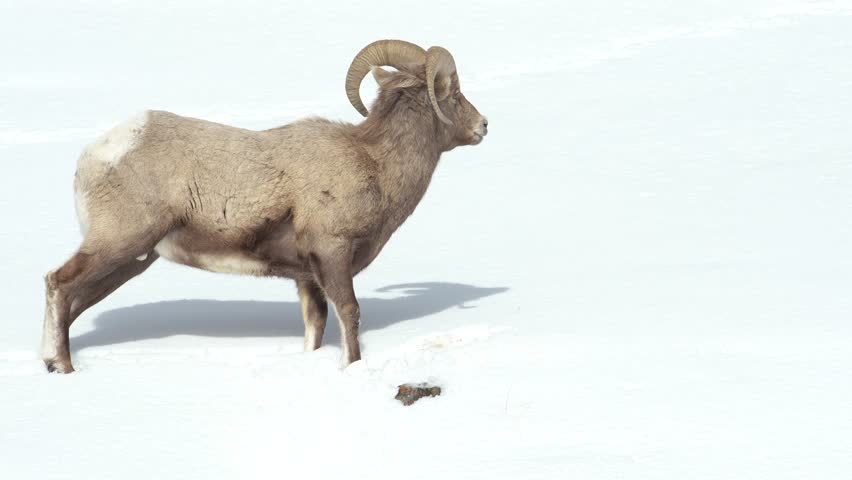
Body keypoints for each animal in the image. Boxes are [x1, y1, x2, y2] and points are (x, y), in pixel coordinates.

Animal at [41, 39, 489, 373]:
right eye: (454, 93)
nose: (483, 126)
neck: (375, 163)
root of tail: (97, 153)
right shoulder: (333, 254)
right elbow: (350, 313)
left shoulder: (307, 278)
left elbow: (315, 326)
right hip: (119, 243)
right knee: (58, 284)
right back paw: (62, 367)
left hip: (132, 260)